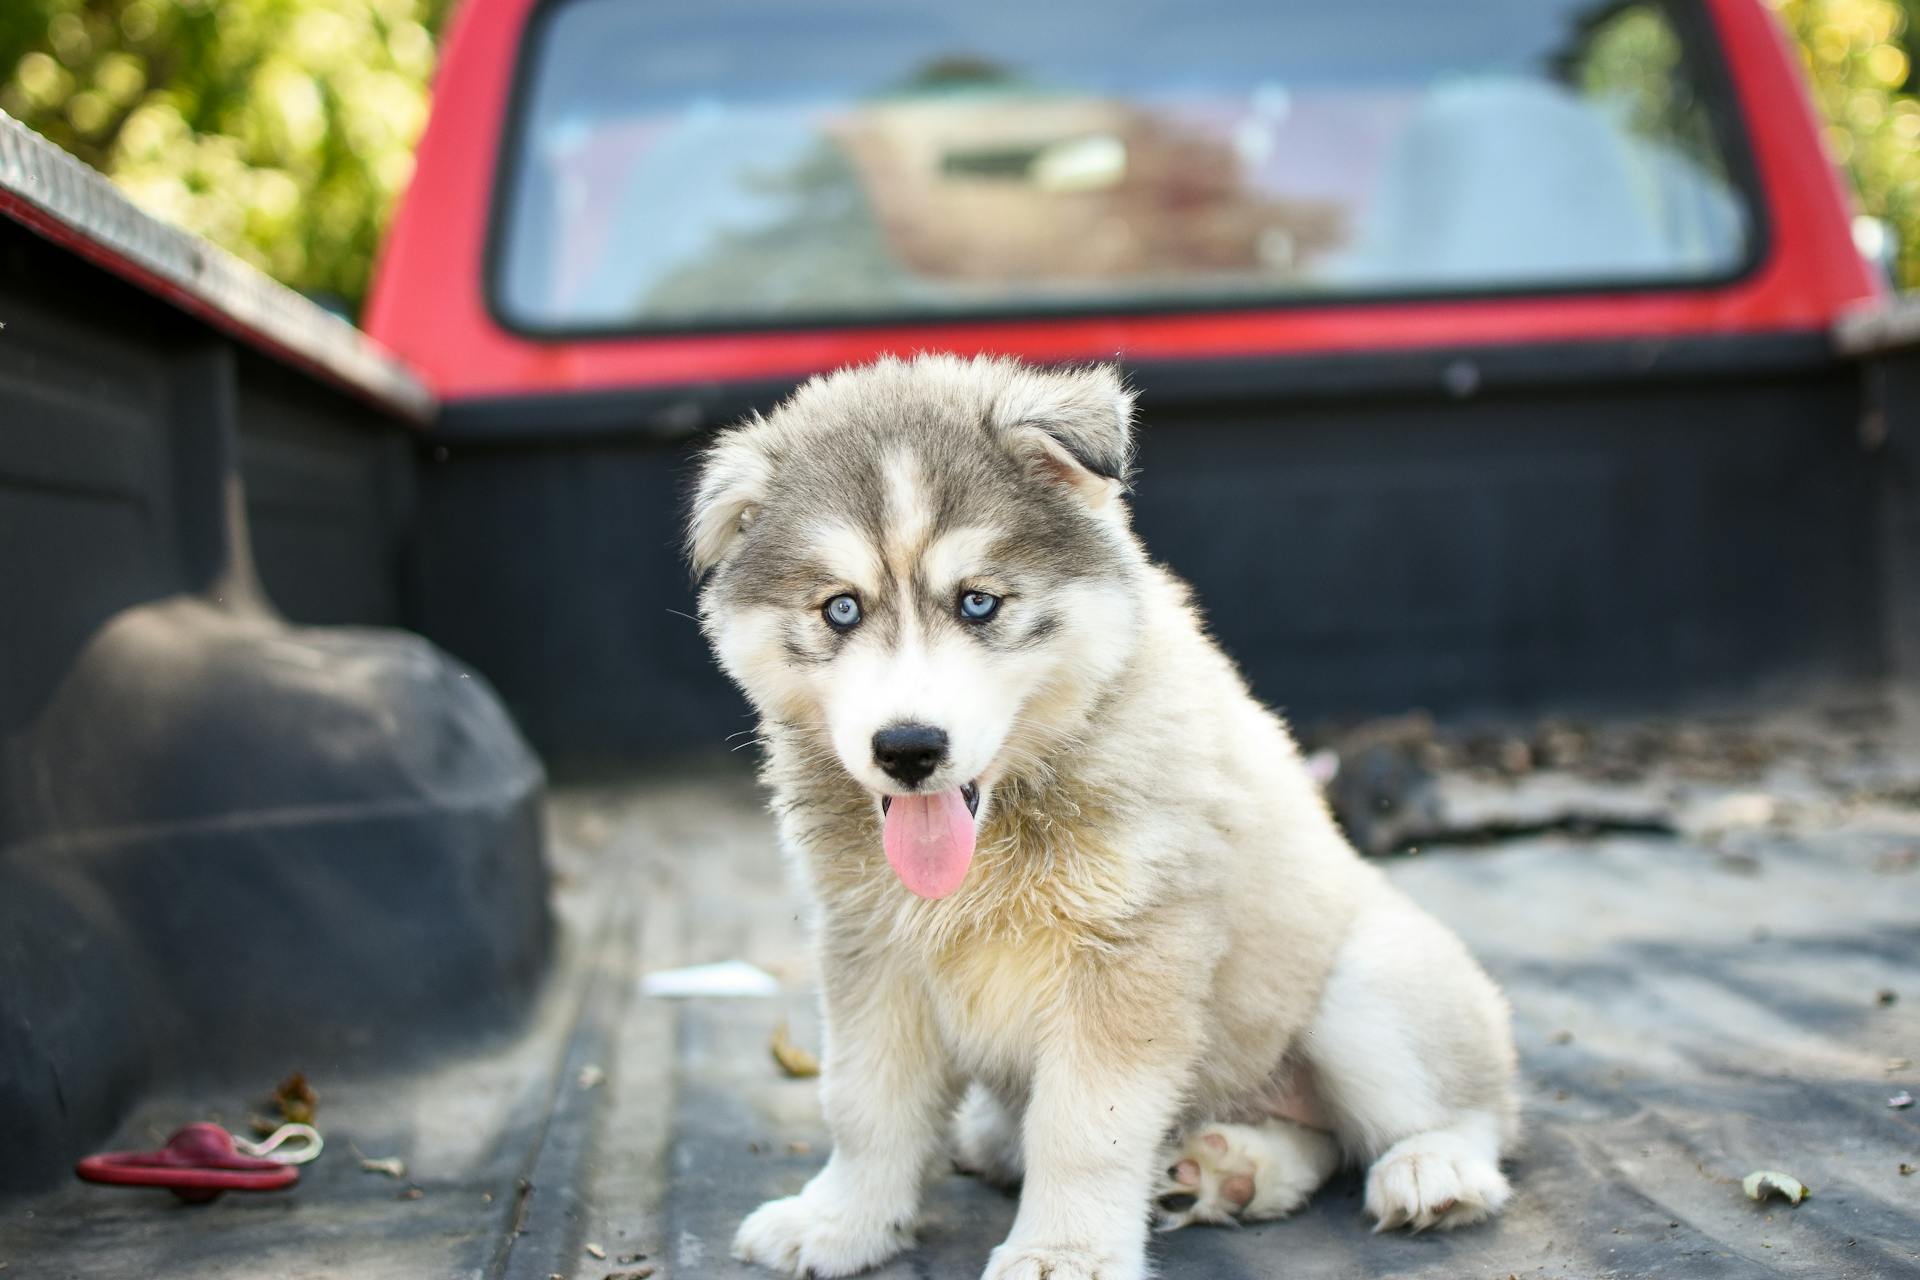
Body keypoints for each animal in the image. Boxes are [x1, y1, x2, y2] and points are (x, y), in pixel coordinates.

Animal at [691, 353, 1512, 1280]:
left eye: (978, 603)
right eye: (841, 608)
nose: (907, 748)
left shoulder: (1128, 957)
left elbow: (1085, 1128)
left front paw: (1064, 1251)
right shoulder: (871, 949)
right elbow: (866, 1102)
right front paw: (843, 1221)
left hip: (1368, 986)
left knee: (1465, 1111)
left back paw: (1434, 1167)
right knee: (1315, 1139)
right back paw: (1231, 1170)